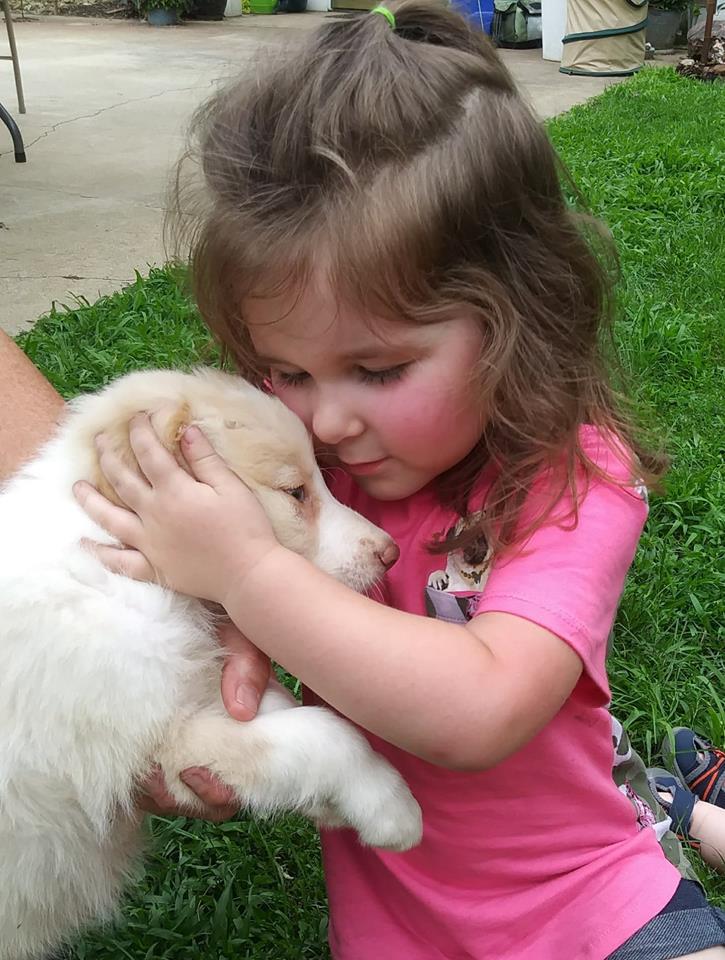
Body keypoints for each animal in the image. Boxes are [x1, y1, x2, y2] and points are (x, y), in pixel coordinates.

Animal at [0, 368, 422, 960]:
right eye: (296, 492)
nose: (389, 552)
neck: (112, 554)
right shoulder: (160, 742)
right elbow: (323, 734)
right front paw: (393, 812)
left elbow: (279, 717)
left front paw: (342, 807)